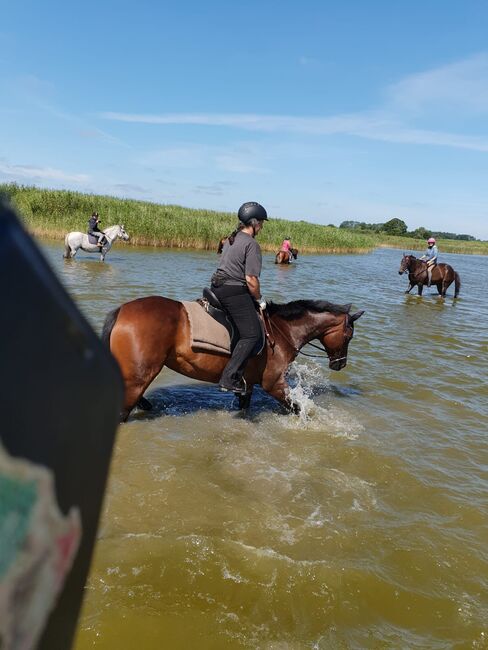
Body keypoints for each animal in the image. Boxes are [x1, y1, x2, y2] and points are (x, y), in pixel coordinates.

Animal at [102, 294, 362, 418]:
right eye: (349, 335)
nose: (340, 364)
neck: (282, 331)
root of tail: (122, 311)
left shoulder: (248, 383)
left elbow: (244, 406)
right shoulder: (273, 383)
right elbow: (297, 408)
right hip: (140, 375)